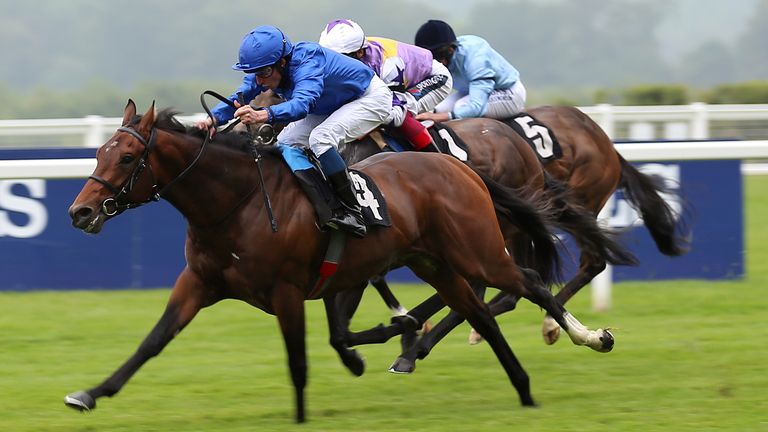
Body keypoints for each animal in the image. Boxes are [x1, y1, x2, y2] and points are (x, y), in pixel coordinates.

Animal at [66, 100, 616, 422]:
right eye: (99, 153)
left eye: (127, 158)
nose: (80, 211)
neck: (238, 201)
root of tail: (456, 165)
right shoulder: (199, 282)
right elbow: (153, 341)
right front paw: (90, 393)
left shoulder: (289, 291)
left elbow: (300, 360)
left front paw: (304, 413)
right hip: (433, 262)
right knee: (479, 309)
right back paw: (519, 387)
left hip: (477, 249)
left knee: (527, 282)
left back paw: (589, 337)